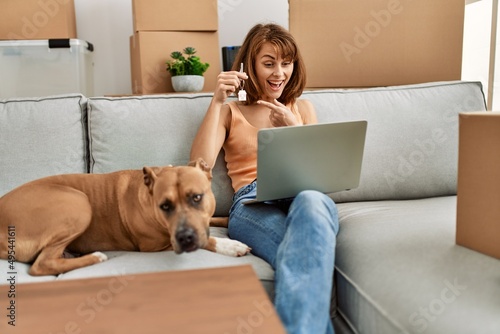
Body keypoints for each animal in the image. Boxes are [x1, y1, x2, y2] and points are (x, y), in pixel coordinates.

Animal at [0, 159, 250, 276]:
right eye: (165, 206)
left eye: (197, 197)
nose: (185, 238)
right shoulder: (155, 246)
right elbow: (207, 239)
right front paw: (229, 245)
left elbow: (213, 219)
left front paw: (226, 221)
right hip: (79, 203)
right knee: (41, 264)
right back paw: (95, 257)